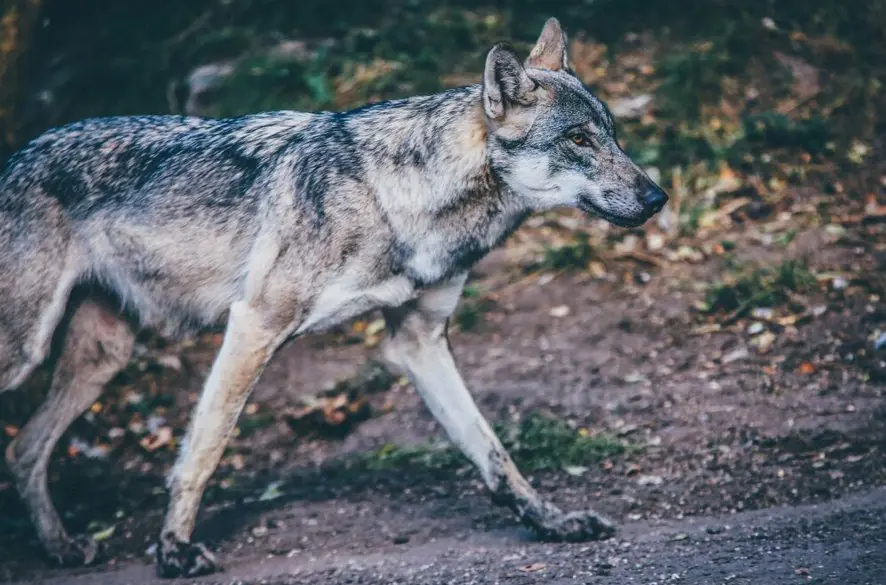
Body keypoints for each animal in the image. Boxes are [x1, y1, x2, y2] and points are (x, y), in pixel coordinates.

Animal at [0, 17, 664, 576]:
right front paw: (174, 550)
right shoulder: (254, 325)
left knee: (25, 448)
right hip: (27, 352)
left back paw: (60, 547)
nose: (657, 198)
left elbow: (493, 453)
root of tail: (15, 156)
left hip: (101, 359)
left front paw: (552, 521)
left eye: (612, 135)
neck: (396, 198)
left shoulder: (419, 342)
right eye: (578, 139)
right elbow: (205, 449)